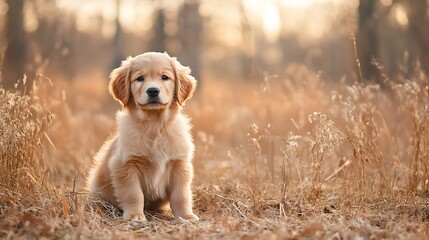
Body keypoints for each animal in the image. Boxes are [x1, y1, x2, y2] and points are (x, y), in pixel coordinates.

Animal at [88, 51, 199, 222]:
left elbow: (181, 195)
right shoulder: (124, 166)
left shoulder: (180, 165)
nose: (153, 91)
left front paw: (185, 216)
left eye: (165, 77)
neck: (154, 126)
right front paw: (135, 215)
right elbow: (134, 194)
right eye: (140, 78)